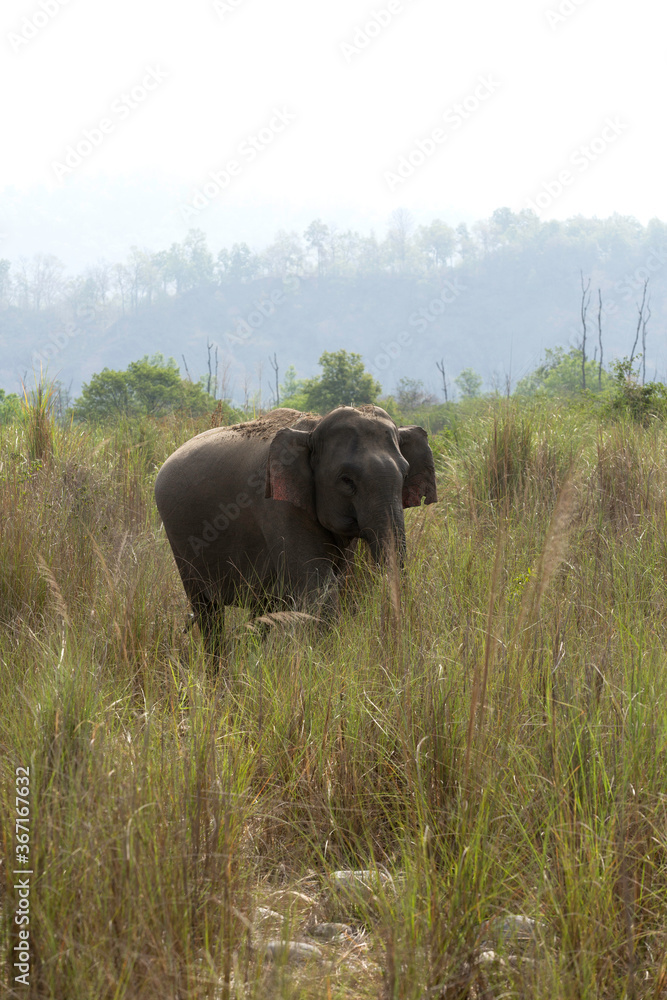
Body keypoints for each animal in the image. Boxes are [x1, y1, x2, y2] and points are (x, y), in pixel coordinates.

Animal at [154, 404, 437, 646]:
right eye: (346, 480)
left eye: (405, 473)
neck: (312, 430)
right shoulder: (278, 507)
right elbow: (317, 587)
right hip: (181, 544)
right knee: (207, 613)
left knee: (258, 610)